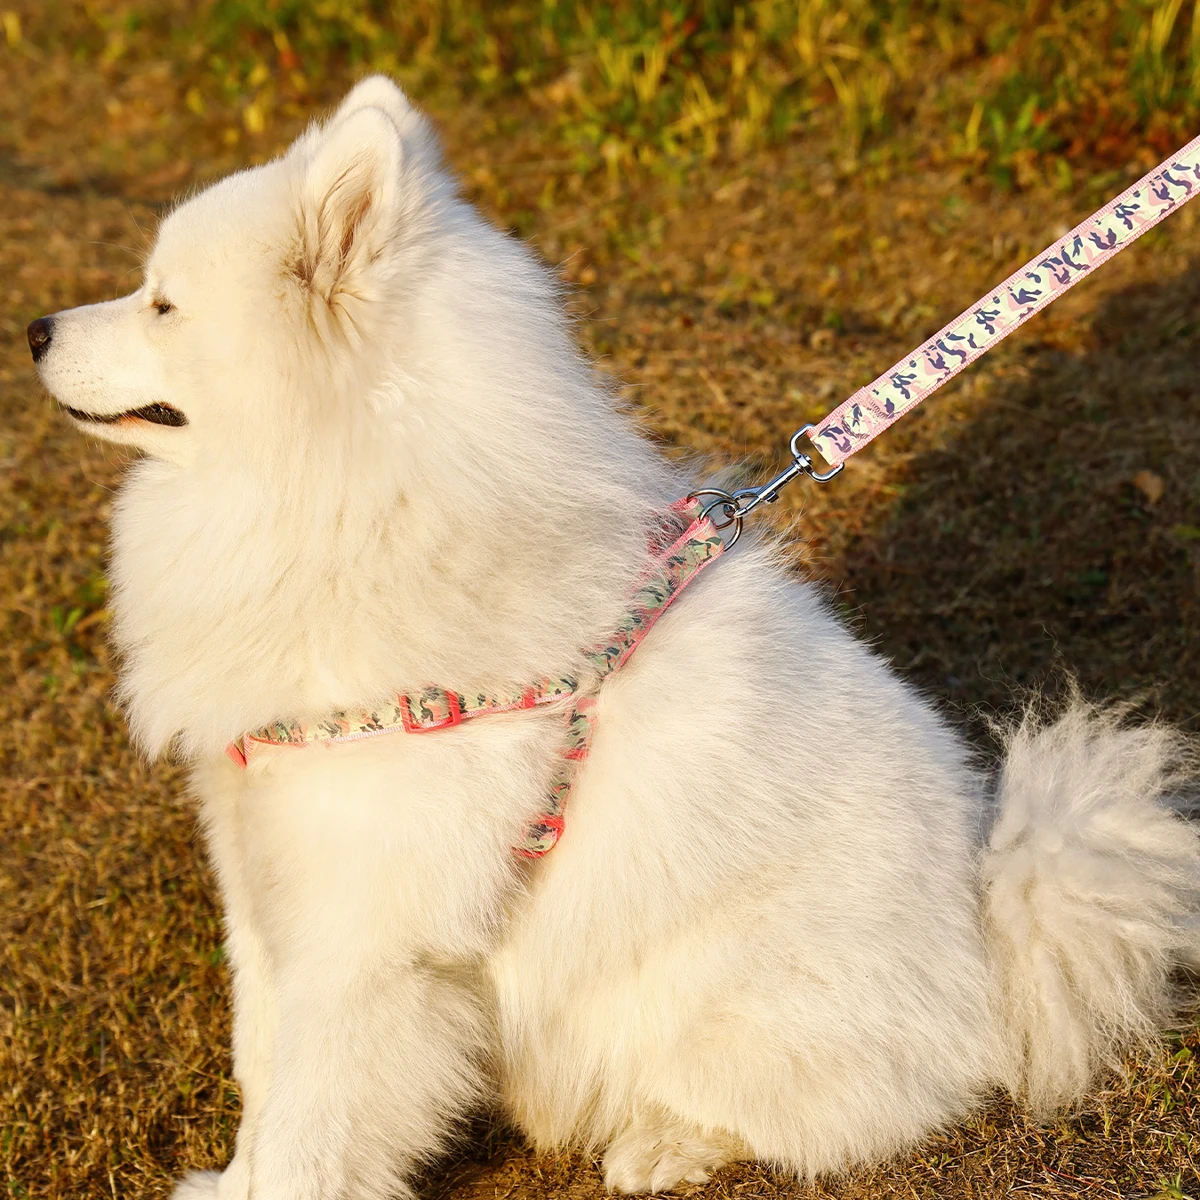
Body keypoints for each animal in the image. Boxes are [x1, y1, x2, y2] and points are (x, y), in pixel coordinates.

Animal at [28, 79, 1200, 1195]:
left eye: (162, 303)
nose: (34, 329)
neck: (349, 505)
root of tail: (990, 934)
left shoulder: (364, 939)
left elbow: (314, 1116)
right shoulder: (270, 888)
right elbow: (265, 1070)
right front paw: (233, 1178)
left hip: (718, 1001)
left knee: (827, 1110)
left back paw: (665, 1145)